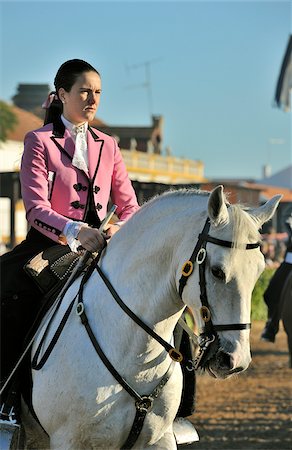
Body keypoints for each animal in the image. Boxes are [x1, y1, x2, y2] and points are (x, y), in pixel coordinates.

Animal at [21, 185, 282, 448]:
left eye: (259, 271)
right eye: (217, 271)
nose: (235, 360)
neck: (133, 352)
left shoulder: (158, 439)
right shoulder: (68, 440)